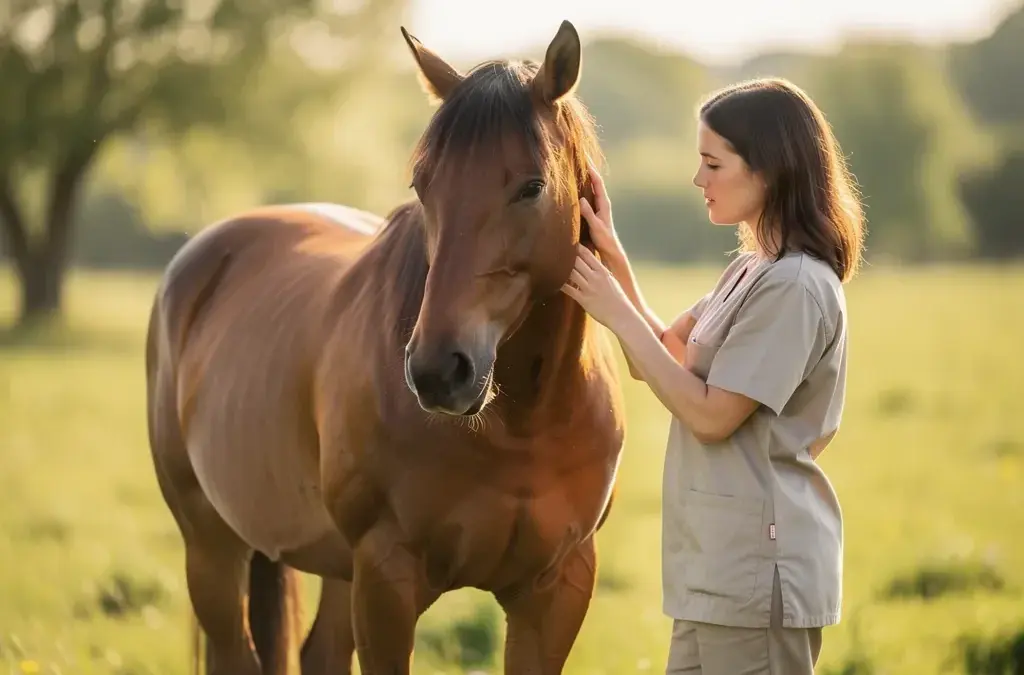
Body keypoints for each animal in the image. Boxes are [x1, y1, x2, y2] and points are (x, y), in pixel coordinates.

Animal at [145, 19, 626, 675]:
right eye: (423, 185)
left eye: (532, 187)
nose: (438, 371)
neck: (522, 426)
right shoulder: (386, 581)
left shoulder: (557, 590)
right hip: (213, 549)